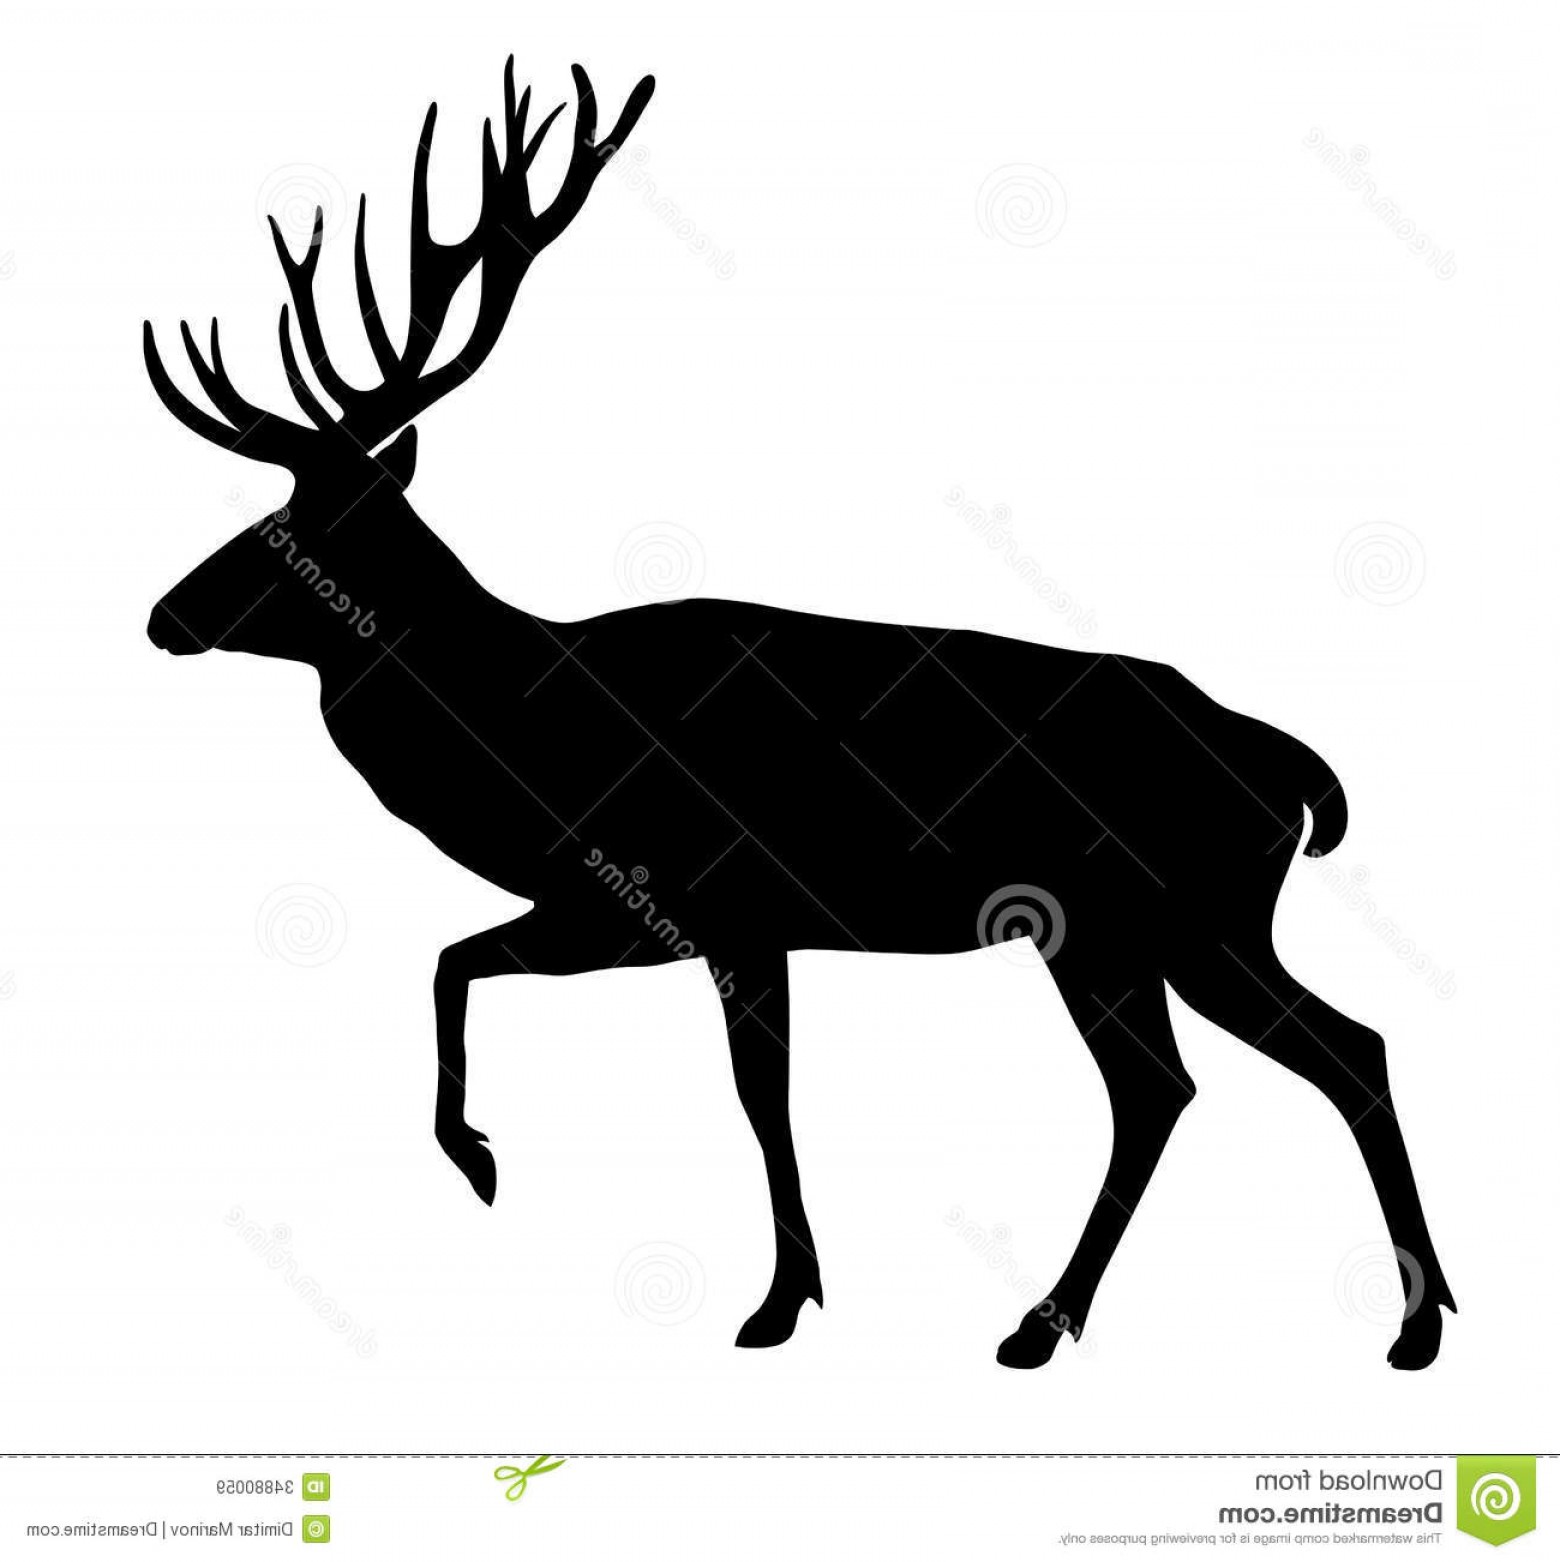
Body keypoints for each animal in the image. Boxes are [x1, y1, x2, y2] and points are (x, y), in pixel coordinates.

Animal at [145, 57, 1455, 1370]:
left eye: (283, 534)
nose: (162, 614)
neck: (529, 737)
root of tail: (1291, 768)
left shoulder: (678, 897)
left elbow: (511, 991)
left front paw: (563, 1203)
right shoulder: (715, 920)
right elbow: (664, 1049)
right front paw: (785, 1287)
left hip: (1180, 918)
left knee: (1308, 1057)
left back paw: (1391, 1322)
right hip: (1138, 937)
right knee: (1210, 1079)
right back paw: (1085, 1318)